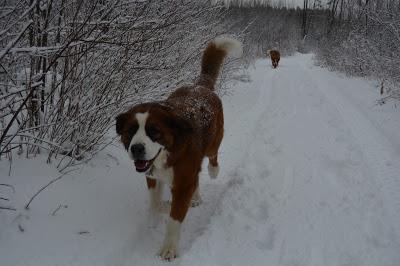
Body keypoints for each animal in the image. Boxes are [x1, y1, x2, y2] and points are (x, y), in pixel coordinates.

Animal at [114, 37, 242, 260]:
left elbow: (175, 217)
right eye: (130, 131)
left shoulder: (182, 181)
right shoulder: (153, 176)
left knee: (212, 156)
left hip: (213, 142)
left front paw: (169, 248)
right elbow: (156, 204)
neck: (169, 152)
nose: (137, 148)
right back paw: (195, 196)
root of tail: (199, 86)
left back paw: (213, 171)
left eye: (154, 131)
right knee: (196, 176)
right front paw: (162, 209)